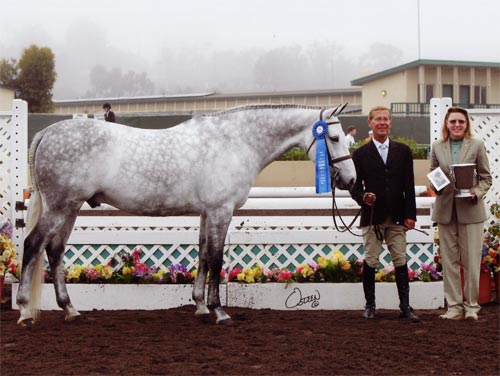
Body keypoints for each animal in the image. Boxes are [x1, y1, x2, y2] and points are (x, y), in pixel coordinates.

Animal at [16, 103, 356, 326]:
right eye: (334, 138)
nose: (351, 180)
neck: (235, 142)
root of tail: (48, 132)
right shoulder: (220, 211)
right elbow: (216, 259)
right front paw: (220, 312)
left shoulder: (207, 213)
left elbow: (203, 255)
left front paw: (201, 306)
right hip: (60, 207)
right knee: (33, 245)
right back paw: (24, 312)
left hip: (70, 208)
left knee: (54, 250)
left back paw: (70, 310)